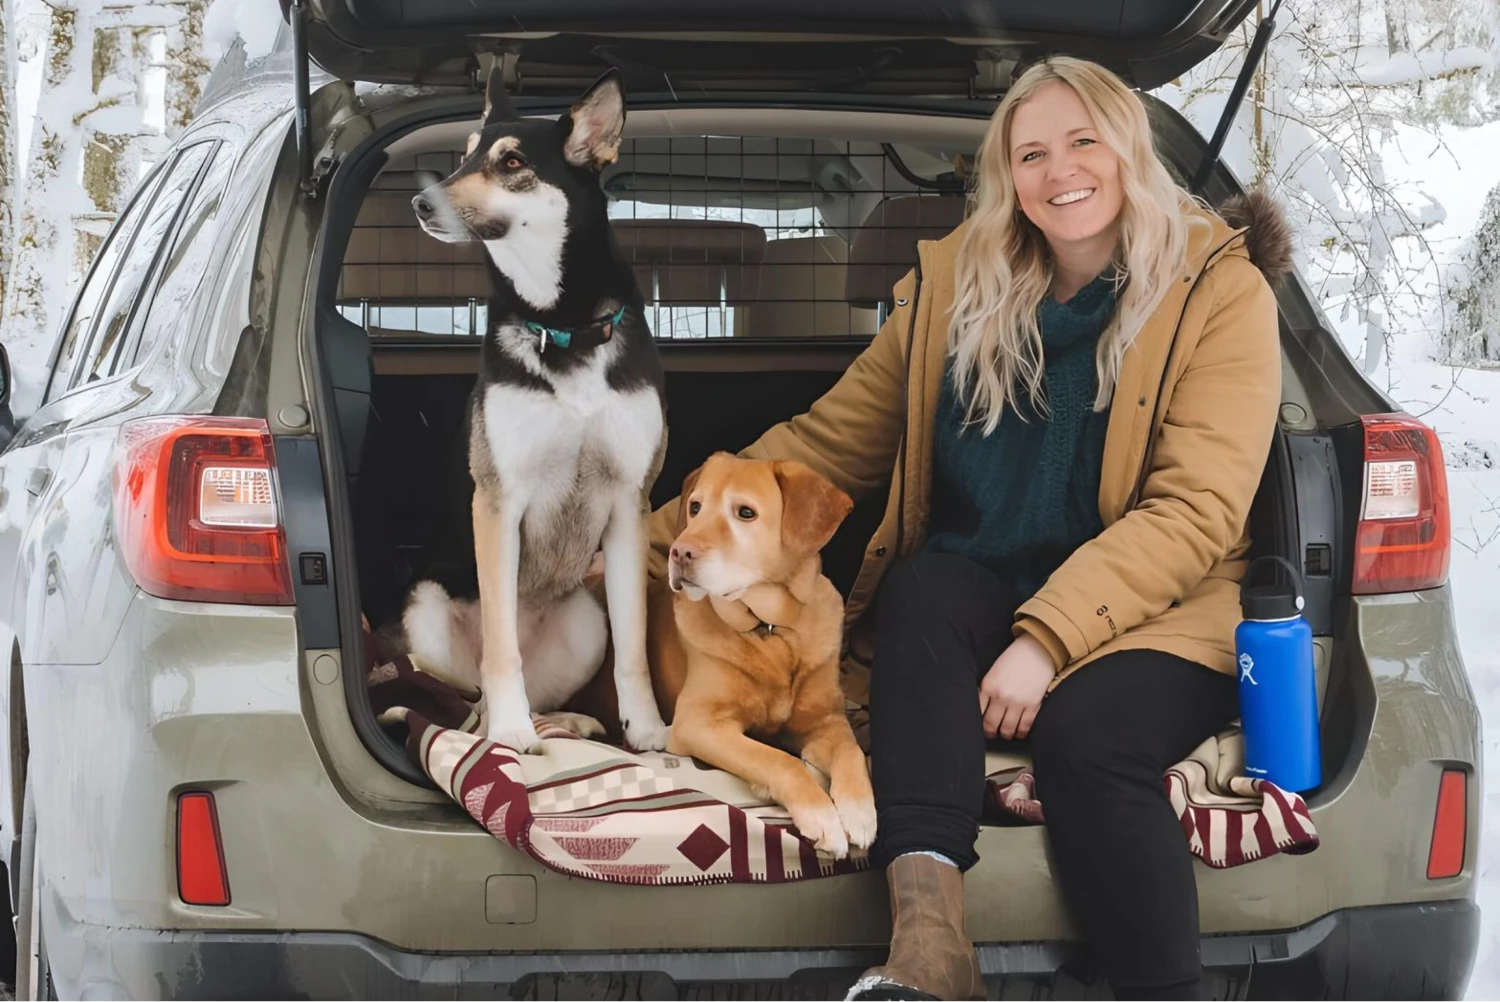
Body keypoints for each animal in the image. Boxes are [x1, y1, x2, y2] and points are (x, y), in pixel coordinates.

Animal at [408, 66, 672, 750]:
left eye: (513, 162)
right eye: (464, 153)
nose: (421, 204)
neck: (565, 326)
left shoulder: (630, 502)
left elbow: (635, 646)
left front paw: (647, 729)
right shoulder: (498, 500)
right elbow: (501, 651)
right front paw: (510, 732)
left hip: (585, 621)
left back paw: (567, 721)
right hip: (426, 609)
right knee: (466, 692)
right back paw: (501, 722)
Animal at [648, 453, 876, 852]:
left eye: (745, 513)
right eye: (695, 507)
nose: (679, 552)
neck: (770, 630)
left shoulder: (826, 721)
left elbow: (851, 751)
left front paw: (860, 810)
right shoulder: (698, 724)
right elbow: (778, 760)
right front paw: (822, 814)